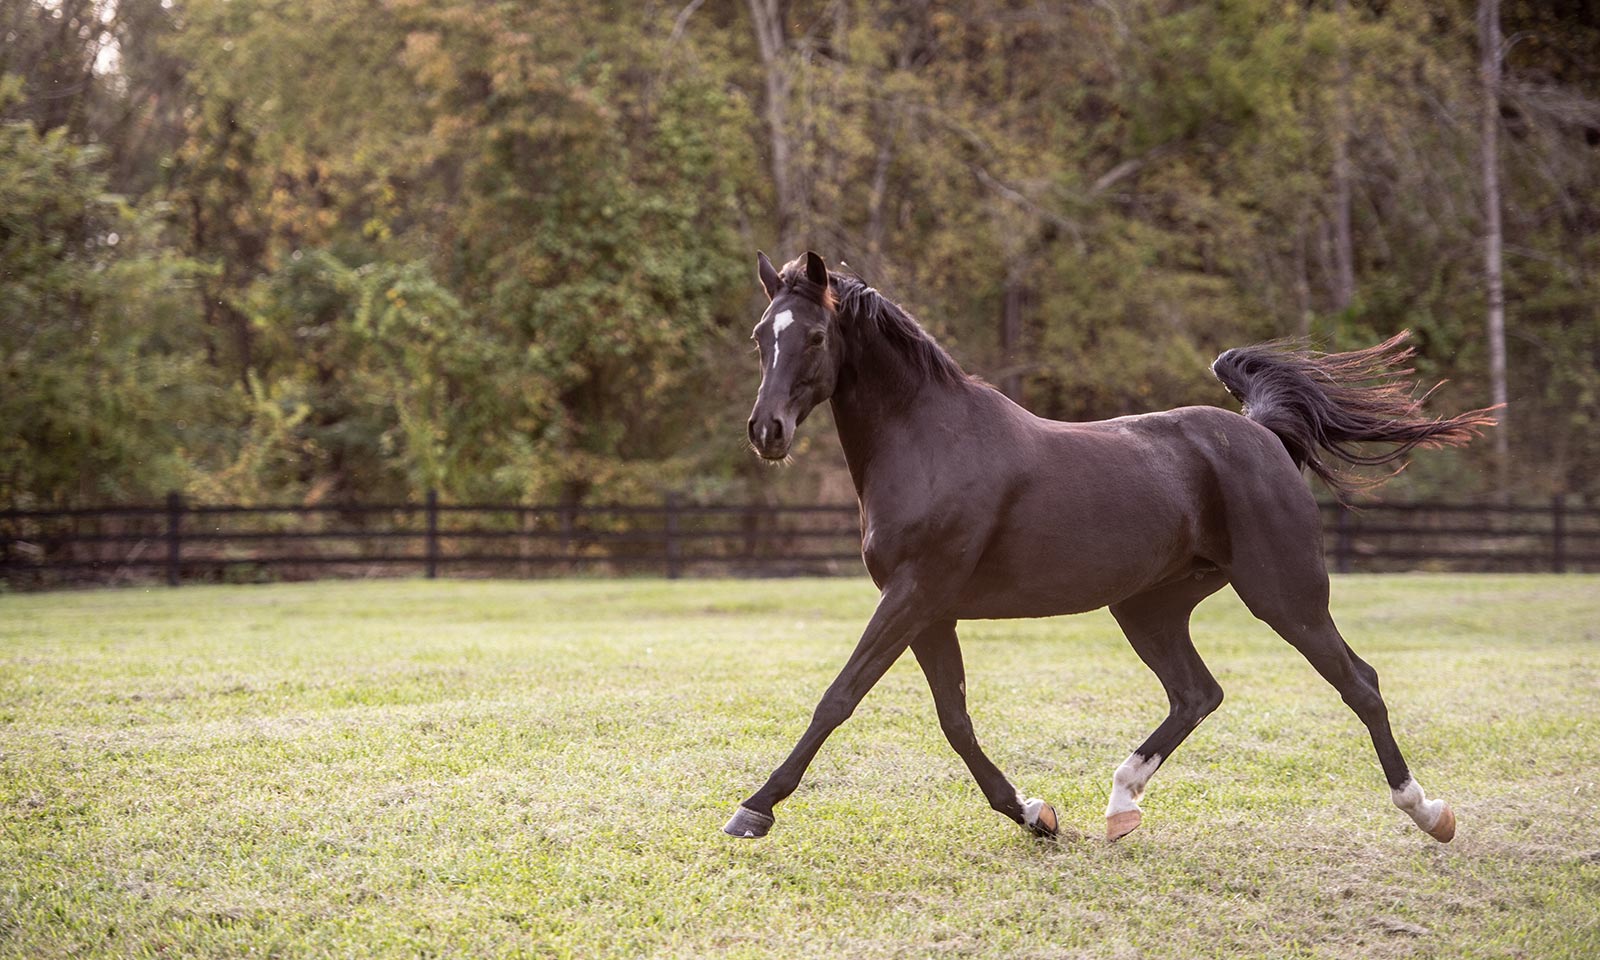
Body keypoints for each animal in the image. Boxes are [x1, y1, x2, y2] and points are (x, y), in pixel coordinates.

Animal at [726, 251, 1497, 844]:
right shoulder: (928, 609)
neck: (930, 442)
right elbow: (955, 721)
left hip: (1286, 595)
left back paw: (1429, 813)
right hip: (1149, 607)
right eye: (763, 334)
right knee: (1197, 692)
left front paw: (754, 810)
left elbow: (840, 697)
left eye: (815, 336)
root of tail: (1260, 432)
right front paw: (1035, 814)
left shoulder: (915, 594)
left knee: (1358, 682)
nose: (766, 431)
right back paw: (1121, 805)